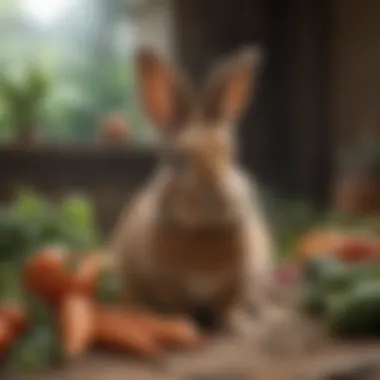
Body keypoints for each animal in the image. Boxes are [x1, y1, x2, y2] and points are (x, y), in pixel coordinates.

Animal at [108, 46, 274, 332]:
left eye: (231, 157)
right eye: (180, 161)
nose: (219, 200)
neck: (202, 234)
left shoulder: (237, 281)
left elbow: (227, 304)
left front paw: (235, 325)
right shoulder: (169, 284)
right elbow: (180, 306)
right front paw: (185, 324)